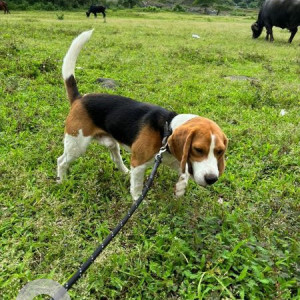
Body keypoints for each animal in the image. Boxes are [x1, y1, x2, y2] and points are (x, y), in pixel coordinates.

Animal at [57, 29, 227, 199]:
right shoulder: (138, 163)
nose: (212, 179)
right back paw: (61, 181)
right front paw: (139, 199)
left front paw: (180, 187)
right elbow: (138, 186)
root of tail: (79, 98)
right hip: (76, 144)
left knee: (115, 157)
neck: (167, 129)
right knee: (61, 161)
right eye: (198, 150)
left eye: (220, 151)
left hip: (110, 143)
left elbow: (184, 172)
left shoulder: (177, 159)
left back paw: (124, 172)